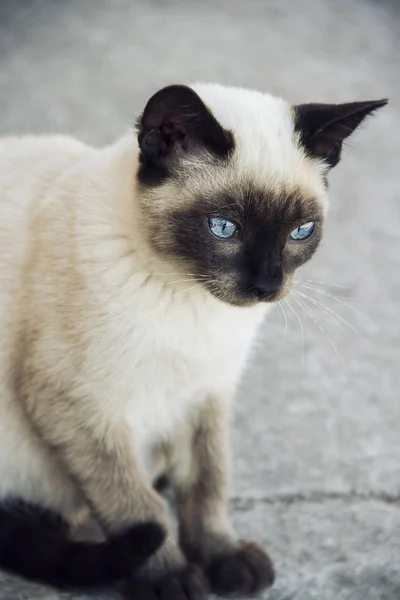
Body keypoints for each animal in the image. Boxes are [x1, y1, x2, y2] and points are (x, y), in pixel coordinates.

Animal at [0, 81, 388, 600]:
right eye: (223, 228)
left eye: (300, 232)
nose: (267, 285)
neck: (192, 308)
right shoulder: (78, 407)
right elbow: (136, 506)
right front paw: (172, 578)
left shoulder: (203, 395)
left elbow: (208, 484)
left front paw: (226, 561)